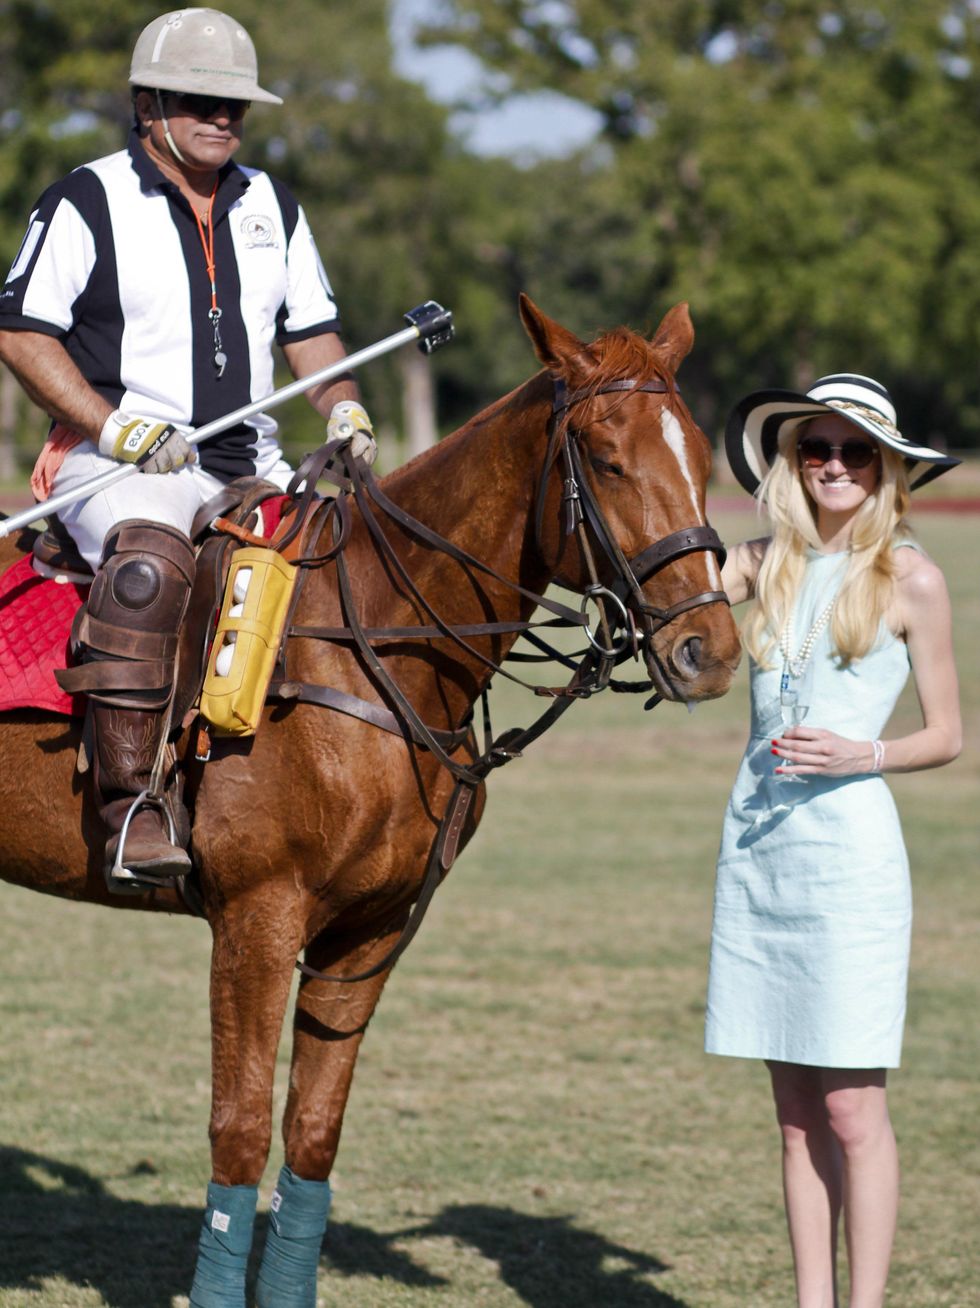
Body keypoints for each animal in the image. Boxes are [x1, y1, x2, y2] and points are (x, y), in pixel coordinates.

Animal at [0, 299, 732, 1308]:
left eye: (701, 453)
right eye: (607, 458)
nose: (713, 651)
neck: (376, 642)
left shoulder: (371, 931)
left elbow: (314, 1132)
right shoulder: (258, 918)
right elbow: (238, 1127)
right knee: (140, 567)